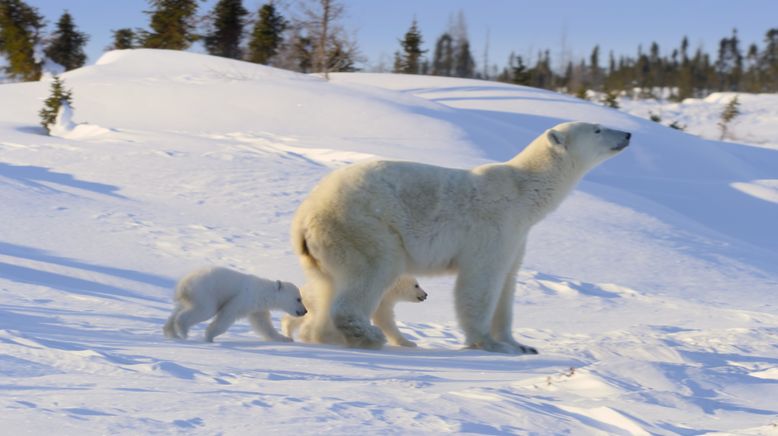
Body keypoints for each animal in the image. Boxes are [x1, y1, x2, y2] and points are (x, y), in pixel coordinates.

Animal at [292, 122, 632, 354]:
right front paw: (488, 343)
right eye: (598, 129)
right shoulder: (493, 227)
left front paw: (520, 345)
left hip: (328, 248)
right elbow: (481, 281)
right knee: (372, 272)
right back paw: (368, 335)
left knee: (327, 286)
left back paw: (324, 335)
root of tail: (304, 216)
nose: (628, 134)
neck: (524, 193)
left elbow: (508, 283)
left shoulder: (517, 235)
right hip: (362, 227)